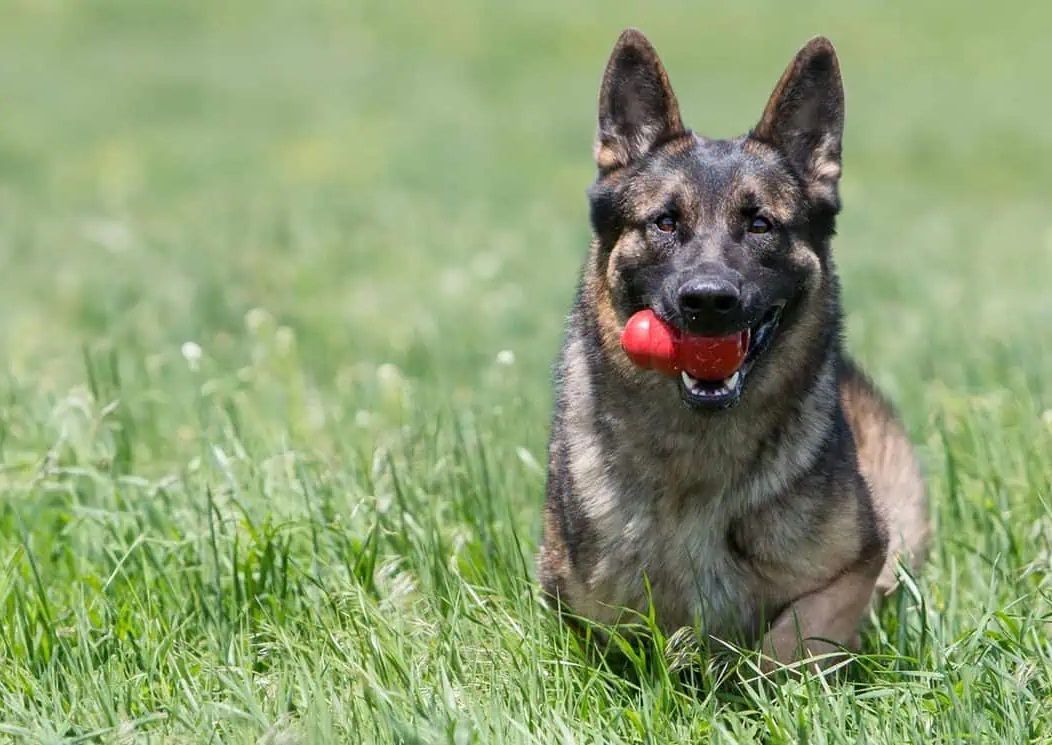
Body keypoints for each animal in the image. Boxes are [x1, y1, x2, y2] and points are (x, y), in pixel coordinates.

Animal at [538, 30, 925, 669]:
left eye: (761, 225)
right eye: (665, 222)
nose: (708, 301)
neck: (698, 453)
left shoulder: (859, 564)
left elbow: (791, 639)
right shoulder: (577, 608)